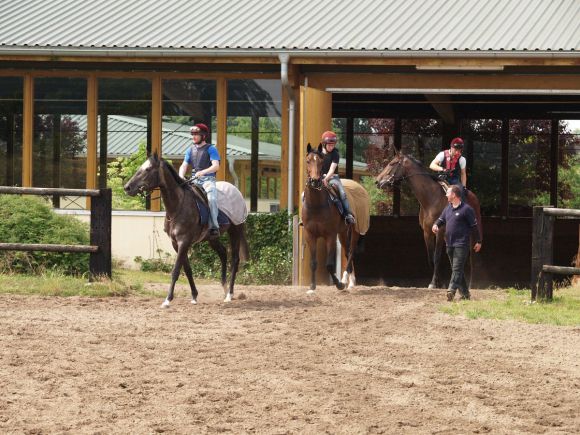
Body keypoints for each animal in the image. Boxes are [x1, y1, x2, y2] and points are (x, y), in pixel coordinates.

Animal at [124, 155, 247, 308]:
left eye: (147, 169)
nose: (127, 187)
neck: (178, 205)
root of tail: (236, 191)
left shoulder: (184, 241)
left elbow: (176, 270)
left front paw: (167, 300)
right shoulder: (176, 243)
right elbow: (187, 269)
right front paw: (194, 296)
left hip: (235, 231)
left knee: (235, 259)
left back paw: (229, 294)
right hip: (212, 238)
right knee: (223, 253)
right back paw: (224, 288)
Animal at [302, 144, 370, 292]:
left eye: (321, 162)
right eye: (308, 161)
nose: (315, 181)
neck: (316, 205)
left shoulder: (330, 236)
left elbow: (329, 264)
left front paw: (339, 284)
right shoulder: (310, 235)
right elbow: (313, 263)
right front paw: (312, 286)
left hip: (355, 230)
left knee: (350, 252)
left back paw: (346, 280)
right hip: (343, 232)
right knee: (346, 252)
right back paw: (349, 281)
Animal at [374, 152, 482, 292]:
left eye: (392, 163)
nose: (377, 181)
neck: (431, 198)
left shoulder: (440, 232)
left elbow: (437, 257)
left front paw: (433, 283)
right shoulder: (427, 232)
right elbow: (431, 258)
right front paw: (439, 283)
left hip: (472, 234)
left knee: (471, 256)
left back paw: (471, 284)